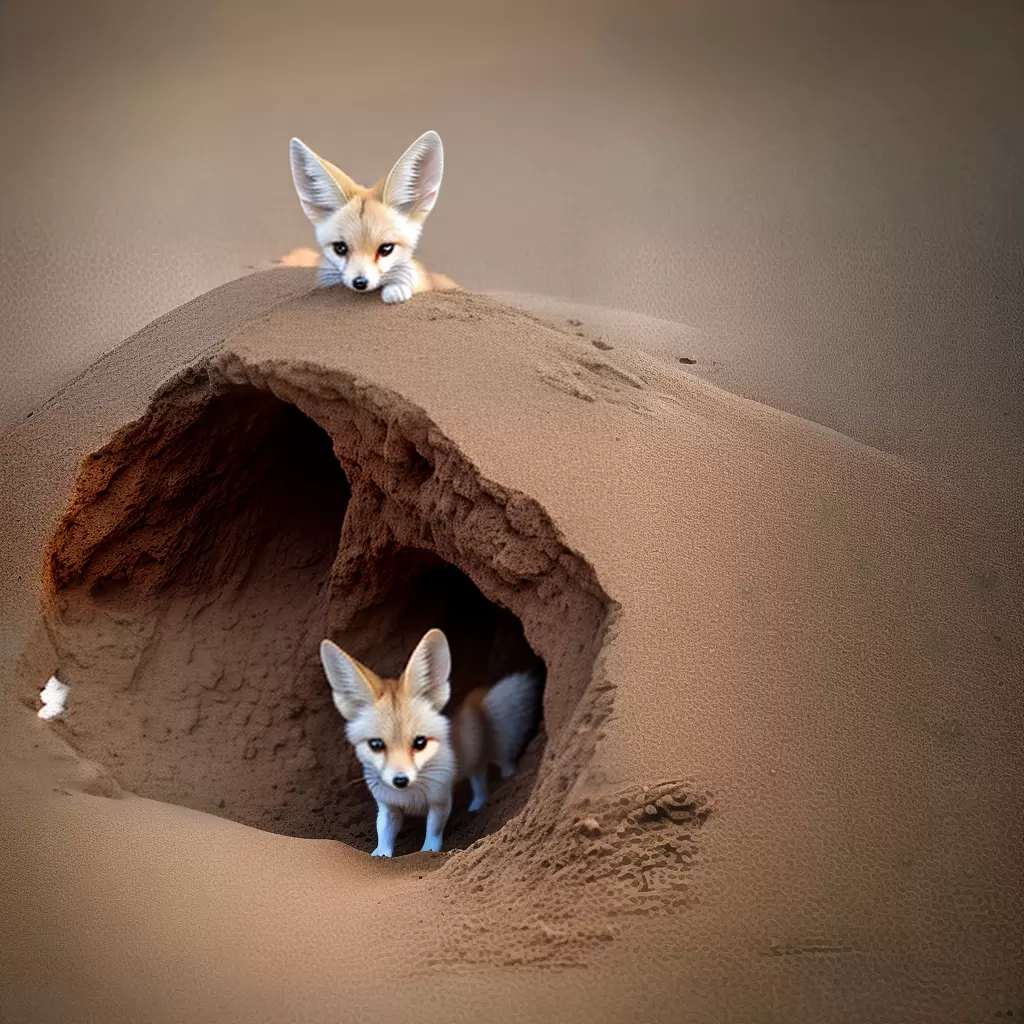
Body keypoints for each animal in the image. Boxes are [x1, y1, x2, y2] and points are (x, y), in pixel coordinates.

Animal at [319, 628, 541, 857]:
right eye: (376, 745)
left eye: (420, 742)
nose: (400, 780)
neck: (409, 795)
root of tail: (470, 699)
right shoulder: (389, 808)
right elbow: (384, 836)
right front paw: (380, 854)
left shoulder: (439, 801)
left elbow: (433, 833)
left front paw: (428, 852)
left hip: (491, 751)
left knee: (495, 769)